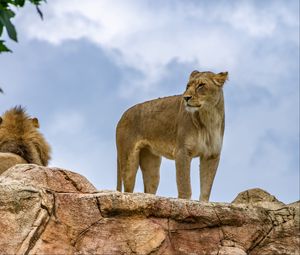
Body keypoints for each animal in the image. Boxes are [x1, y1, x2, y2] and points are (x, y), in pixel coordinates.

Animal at [116, 70, 229, 201]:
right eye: (188, 86)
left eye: (201, 85)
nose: (186, 98)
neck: (208, 117)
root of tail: (122, 115)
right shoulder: (182, 151)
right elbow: (184, 185)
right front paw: (185, 202)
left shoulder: (212, 155)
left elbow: (206, 187)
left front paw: (204, 203)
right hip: (128, 161)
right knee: (128, 189)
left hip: (151, 164)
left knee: (149, 188)